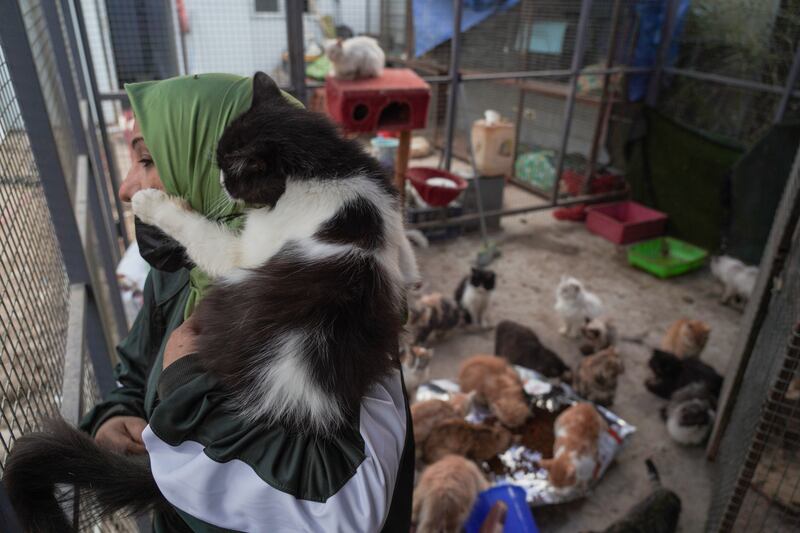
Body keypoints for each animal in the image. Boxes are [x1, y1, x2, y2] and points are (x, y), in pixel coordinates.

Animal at [131, 72, 418, 434]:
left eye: (230, 169)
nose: (222, 181)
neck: (326, 169)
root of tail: (296, 393)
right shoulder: (395, 229)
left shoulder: (243, 253)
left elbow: (198, 232)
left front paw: (148, 202)